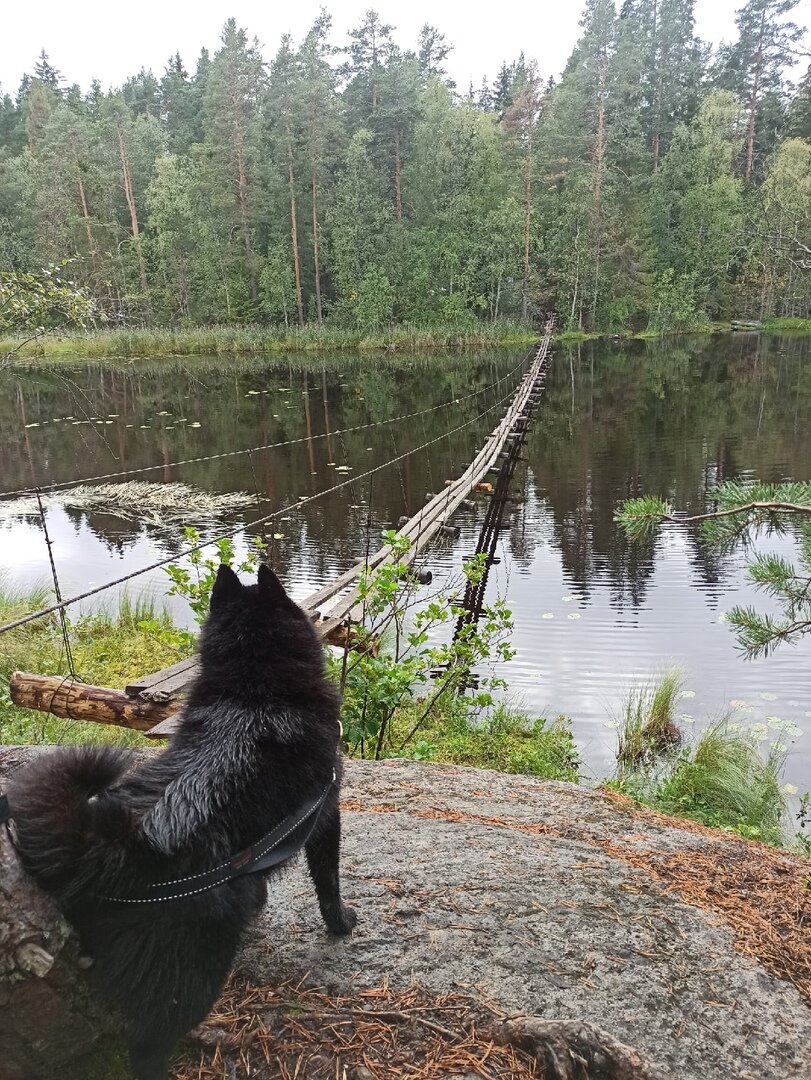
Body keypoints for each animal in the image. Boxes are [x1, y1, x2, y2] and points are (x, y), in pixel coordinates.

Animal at [6, 565, 354, 1080]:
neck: (253, 693)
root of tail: (117, 846)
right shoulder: (325, 814)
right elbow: (328, 882)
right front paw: (342, 924)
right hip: (195, 971)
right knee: (149, 1045)